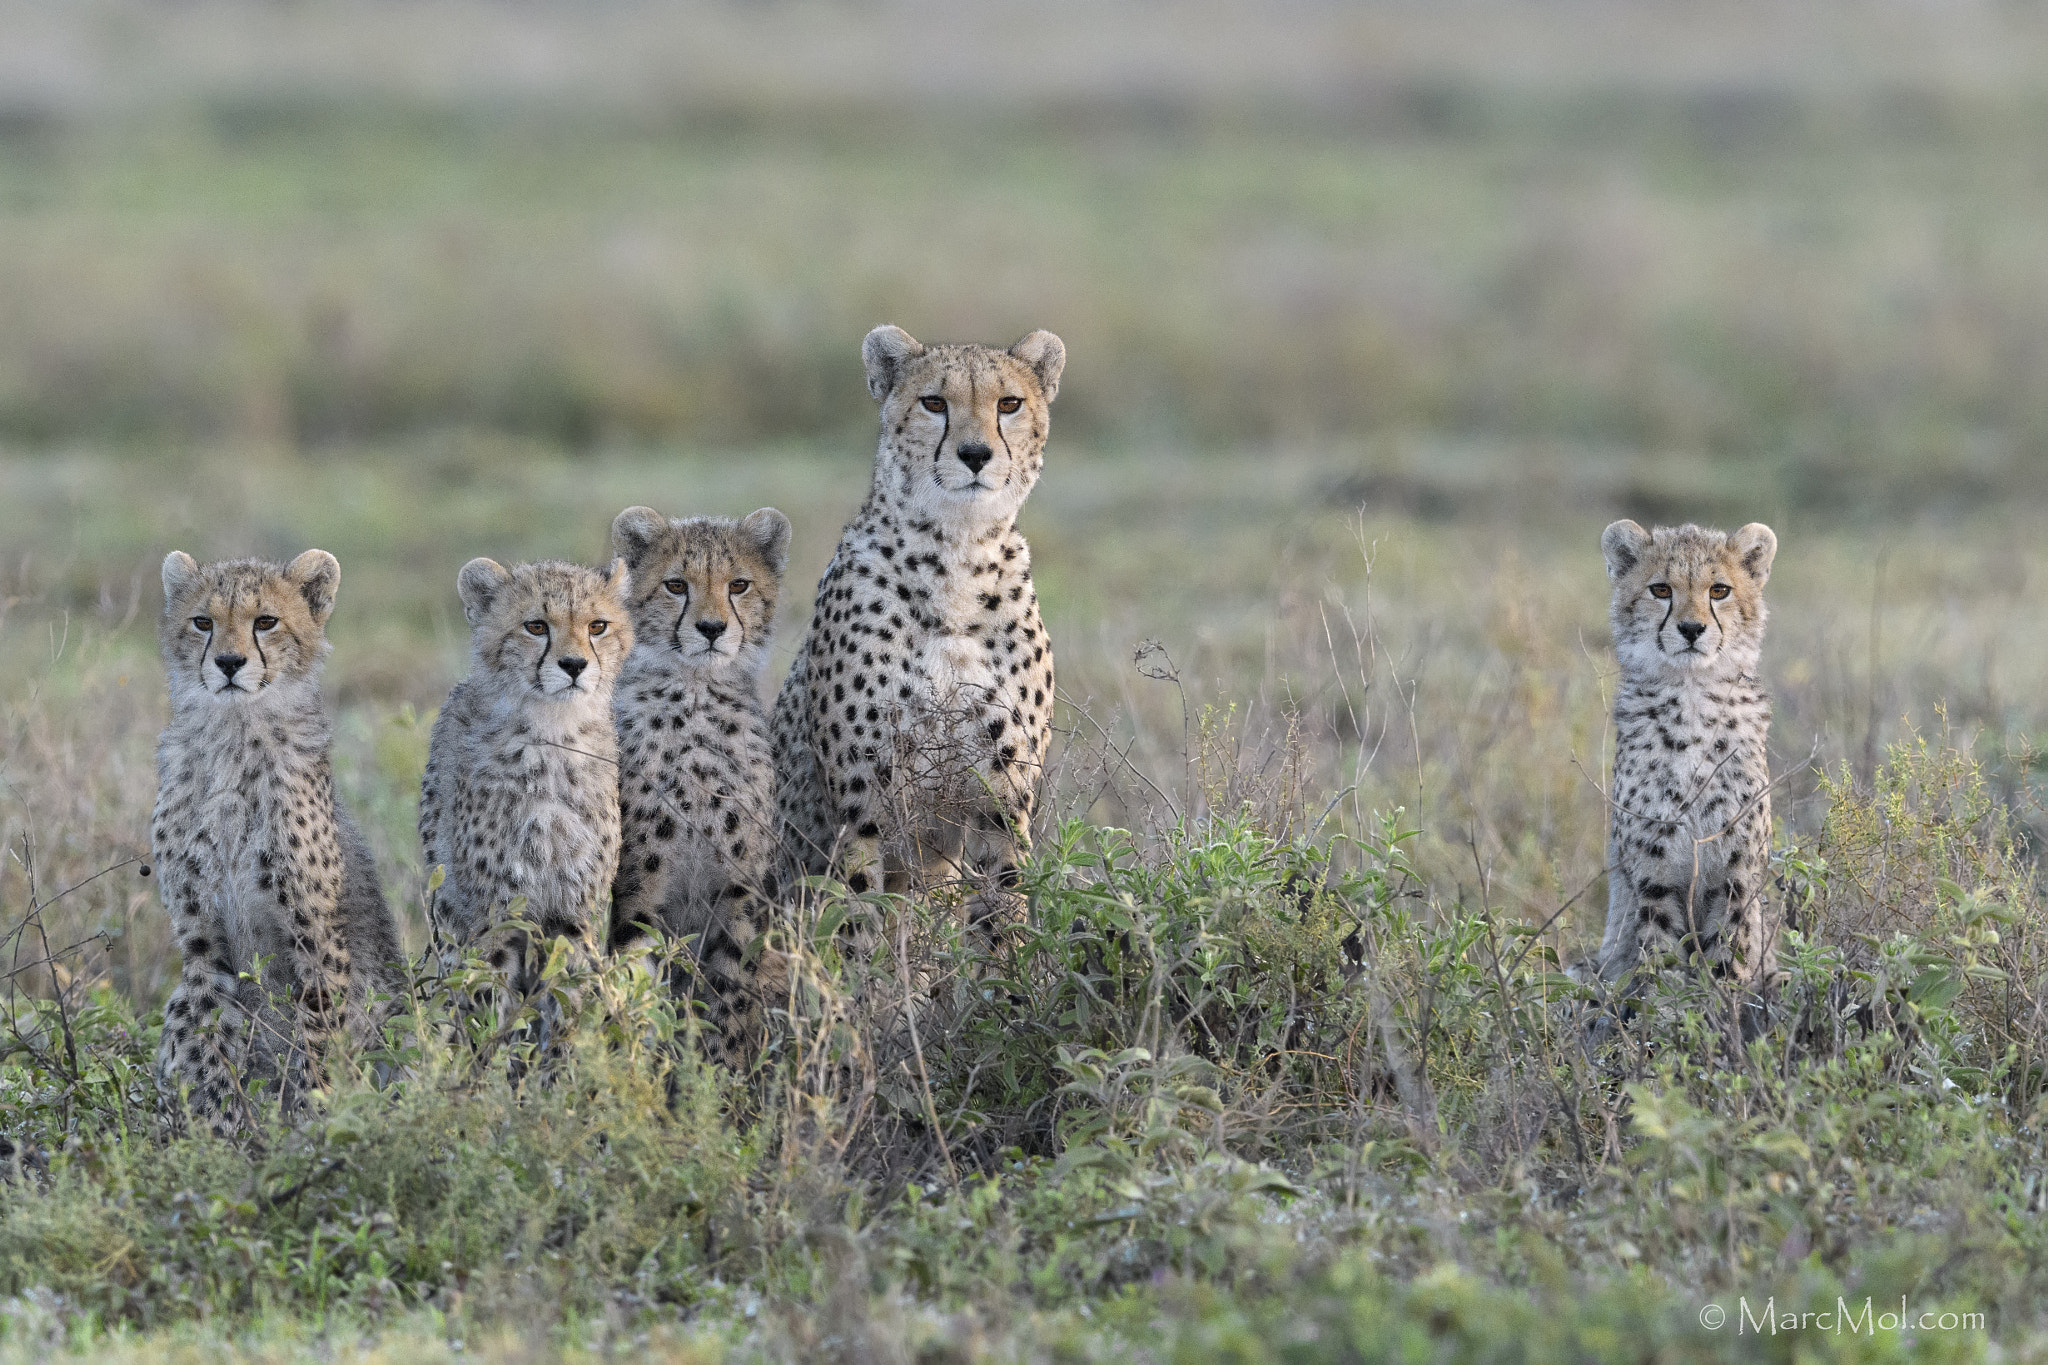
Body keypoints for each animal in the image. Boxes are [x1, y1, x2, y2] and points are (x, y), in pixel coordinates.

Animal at [150, 548, 403, 1137]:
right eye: (203, 622)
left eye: (265, 621)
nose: (228, 663)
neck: (234, 736)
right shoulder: (201, 939)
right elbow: (207, 1039)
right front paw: (220, 1132)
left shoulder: (314, 932)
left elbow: (317, 1034)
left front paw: (312, 1123)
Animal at [417, 560, 630, 1039]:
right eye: (536, 626)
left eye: (597, 626)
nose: (574, 665)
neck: (553, 735)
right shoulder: (494, 914)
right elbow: (488, 1001)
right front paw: (492, 1059)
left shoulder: (572, 912)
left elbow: (570, 995)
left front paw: (571, 1056)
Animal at [606, 507, 790, 1064]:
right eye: (675, 585)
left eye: (739, 585)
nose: (711, 628)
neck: (695, 695)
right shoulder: (639, 895)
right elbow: (636, 982)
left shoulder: (740, 888)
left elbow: (729, 989)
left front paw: (720, 1070)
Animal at [770, 327, 1073, 925]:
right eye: (934, 403)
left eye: (1009, 404)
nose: (975, 455)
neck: (957, 555)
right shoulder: (863, 809)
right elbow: (860, 919)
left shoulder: (1001, 804)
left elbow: (1006, 912)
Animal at [1589, 517, 1785, 986]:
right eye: (1661, 589)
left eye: (1720, 590)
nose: (1692, 629)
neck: (1692, 695)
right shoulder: (1653, 877)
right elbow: (1659, 954)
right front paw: (1664, 1002)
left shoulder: (1736, 875)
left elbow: (1731, 950)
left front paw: (1726, 996)